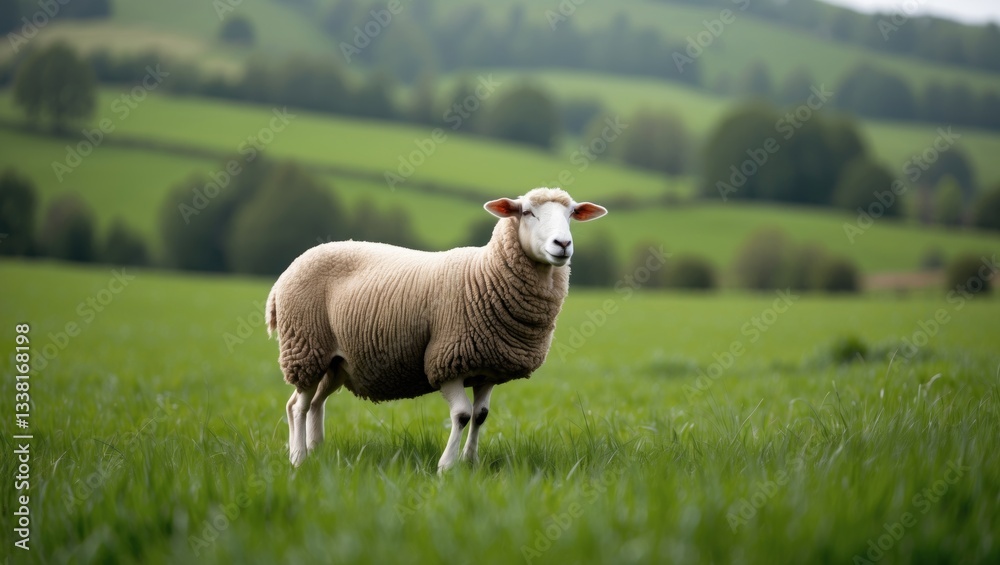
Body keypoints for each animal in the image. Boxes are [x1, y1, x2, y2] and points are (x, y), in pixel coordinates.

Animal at [265, 187, 607, 470]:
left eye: (571, 214)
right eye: (526, 212)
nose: (563, 244)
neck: (484, 274)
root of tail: (286, 273)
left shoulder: (488, 369)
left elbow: (481, 415)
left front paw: (470, 463)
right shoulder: (447, 359)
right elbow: (463, 415)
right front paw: (446, 466)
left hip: (335, 361)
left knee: (314, 403)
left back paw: (316, 450)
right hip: (305, 347)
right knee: (298, 405)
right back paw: (298, 458)